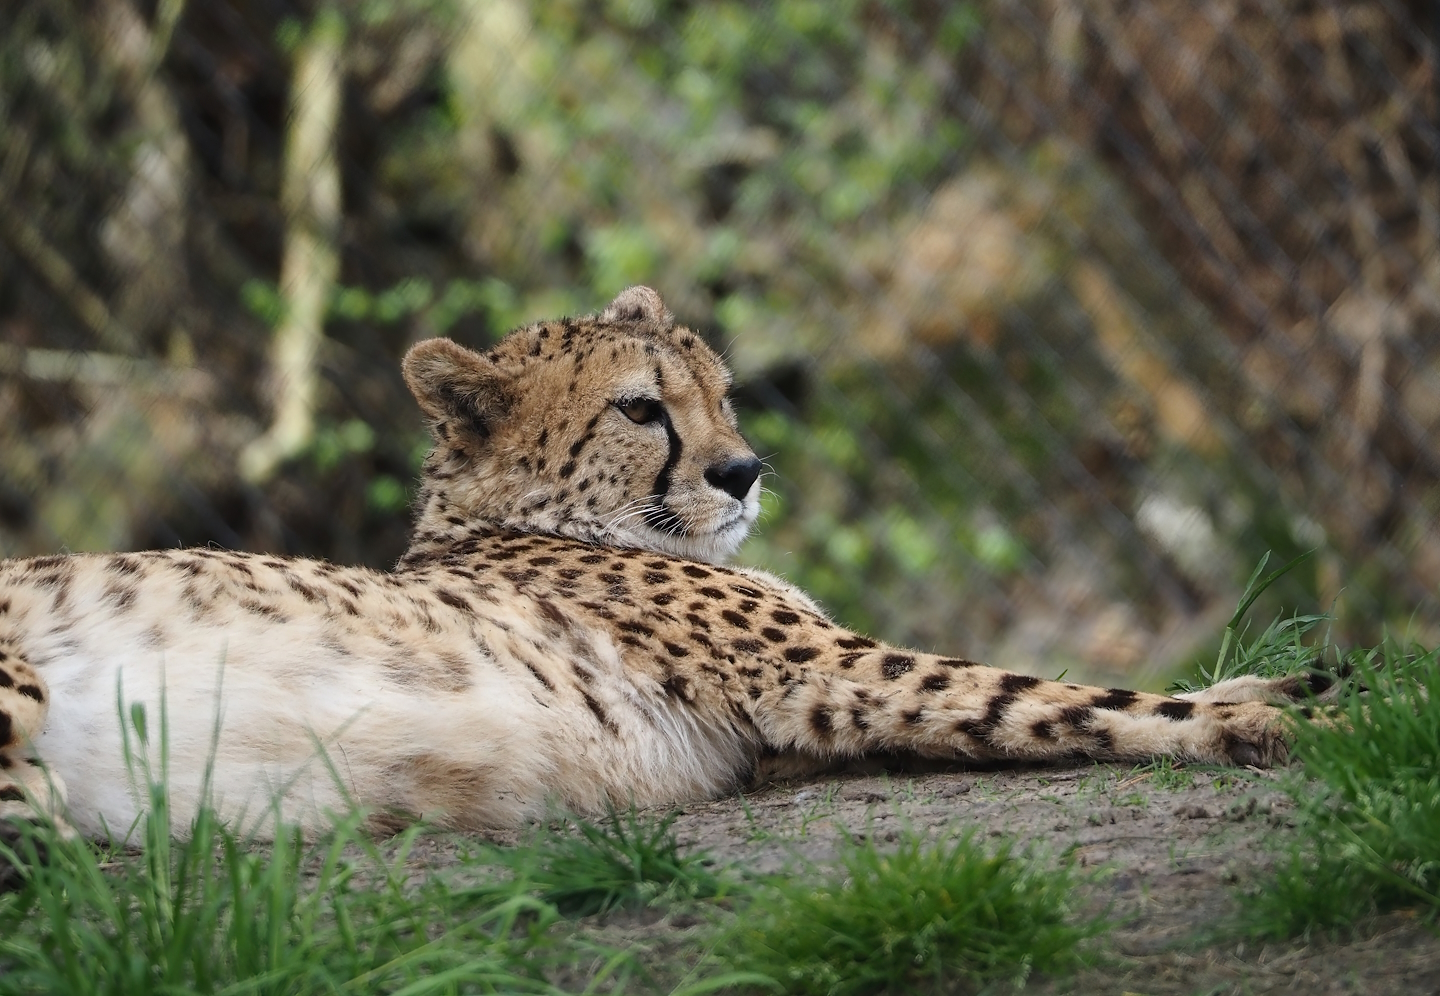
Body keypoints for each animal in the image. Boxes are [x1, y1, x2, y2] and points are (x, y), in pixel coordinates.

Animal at [0, 286, 1327, 846]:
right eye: (644, 409)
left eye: (723, 390)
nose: (744, 470)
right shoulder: (827, 673)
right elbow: (1043, 692)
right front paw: (1274, 721)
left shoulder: (789, 731)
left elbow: (1035, 703)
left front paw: (1259, 687)